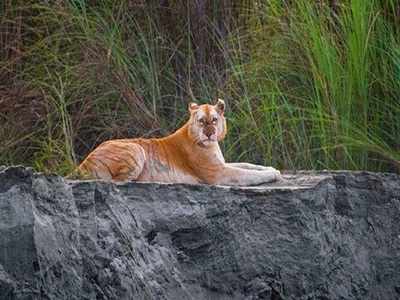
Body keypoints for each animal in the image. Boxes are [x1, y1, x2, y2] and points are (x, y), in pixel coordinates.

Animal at [74, 99, 282, 185]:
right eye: (201, 121)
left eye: (214, 120)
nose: (209, 134)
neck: (211, 144)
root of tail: (82, 164)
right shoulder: (219, 174)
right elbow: (248, 174)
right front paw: (272, 175)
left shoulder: (221, 164)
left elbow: (248, 164)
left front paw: (273, 169)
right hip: (136, 148)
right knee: (118, 182)